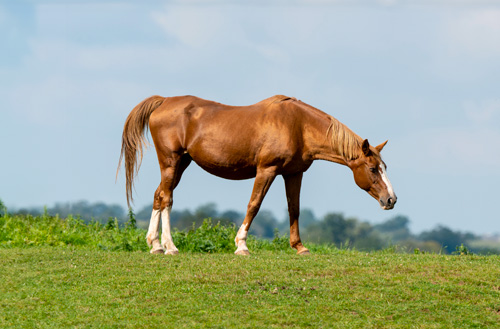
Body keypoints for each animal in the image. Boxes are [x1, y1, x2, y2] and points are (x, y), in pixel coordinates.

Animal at [116, 94, 394, 254]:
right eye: (372, 168)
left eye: (384, 167)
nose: (391, 199)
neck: (298, 125)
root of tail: (164, 101)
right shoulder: (266, 170)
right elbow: (254, 205)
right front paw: (241, 245)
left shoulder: (294, 174)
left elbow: (294, 208)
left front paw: (299, 247)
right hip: (171, 162)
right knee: (166, 198)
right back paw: (170, 246)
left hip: (181, 163)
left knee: (159, 196)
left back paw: (154, 244)